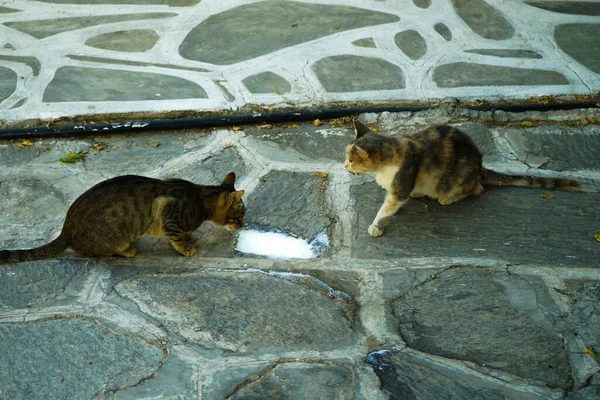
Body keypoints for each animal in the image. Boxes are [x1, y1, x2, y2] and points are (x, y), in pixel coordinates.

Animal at [0, 173, 244, 262]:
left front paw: (189, 237)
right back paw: (126, 250)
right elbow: (177, 238)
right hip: (112, 237)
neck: (200, 199)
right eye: (240, 214)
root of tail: (66, 230)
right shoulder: (165, 211)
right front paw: (186, 247)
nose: (242, 224)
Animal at [346, 120, 580, 236]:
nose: (345, 166)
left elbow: (385, 210)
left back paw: (447, 198)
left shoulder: (400, 187)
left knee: (476, 189)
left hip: (458, 178)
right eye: (346, 155)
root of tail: (480, 166)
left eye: (351, 159)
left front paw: (377, 226)